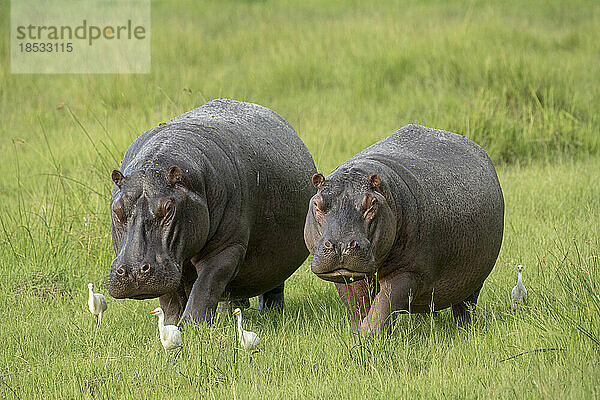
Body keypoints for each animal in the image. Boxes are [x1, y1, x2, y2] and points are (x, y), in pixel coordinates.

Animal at [108, 98, 316, 324]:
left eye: (169, 208)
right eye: (116, 209)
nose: (133, 271)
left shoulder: (227, 247)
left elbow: (206, 286)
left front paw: (192, 326)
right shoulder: (167, 265)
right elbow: (171, 299)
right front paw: (171, 325)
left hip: (275, 260)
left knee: (273, 287)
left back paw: (273, 312)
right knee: (231, 294)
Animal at [302, 124, 504, 334]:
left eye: (372, 203)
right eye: (317, 203)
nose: (341, 245)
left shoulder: (409, 271)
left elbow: (383, 306)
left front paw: (368, 336)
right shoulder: (348, 275)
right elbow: (358, 307)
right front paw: (357, 335)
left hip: (474, 279)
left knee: (465, 307)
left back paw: (465, 330)